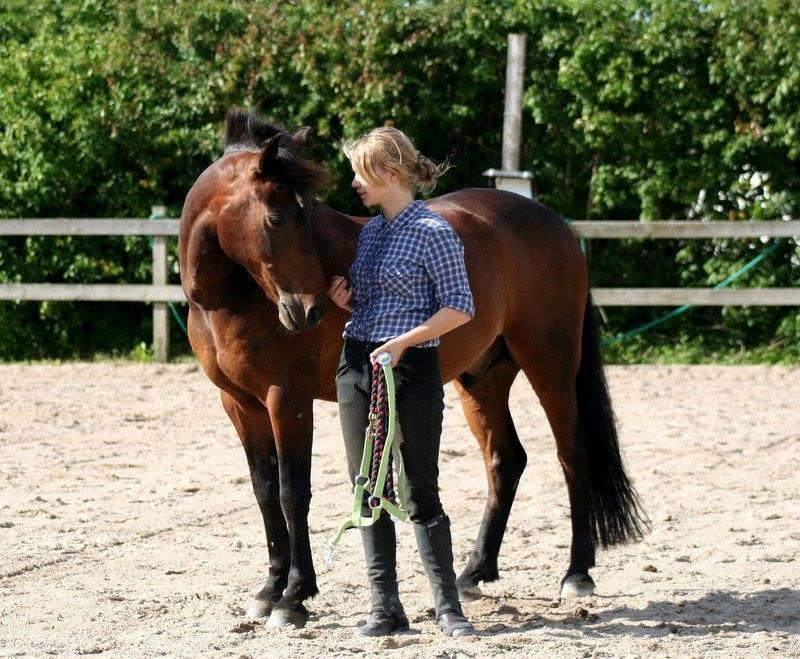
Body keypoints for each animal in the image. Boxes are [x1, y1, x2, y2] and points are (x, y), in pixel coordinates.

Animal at [178, 109, 648, 628]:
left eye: (306, 214)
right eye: (278, 217)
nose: (310, 310)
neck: (228, 301)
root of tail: (557, 227)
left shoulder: (288, 400)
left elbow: (291, 494)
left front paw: (294, 597)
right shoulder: (240, 405)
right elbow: (264, 494)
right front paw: (269, 590)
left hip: (551, 365)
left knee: (572, 456)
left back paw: (576, 574)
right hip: (481, 379)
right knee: (506, 460)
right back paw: (474, 571)